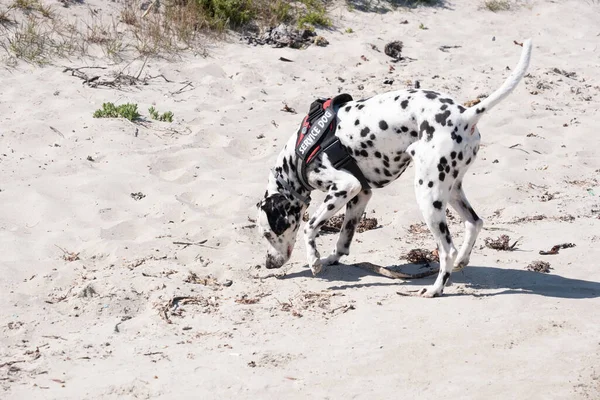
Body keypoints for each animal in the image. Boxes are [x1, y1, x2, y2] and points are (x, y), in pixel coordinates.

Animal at [255, 39, 532, 296]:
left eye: (268, 234)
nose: (268, 264)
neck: (296, 159)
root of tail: (465, 115)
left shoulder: (346, 187)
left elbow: (310, 226)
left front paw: (314, 260)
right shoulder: (360, 195)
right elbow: (343, 240)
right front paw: (330, 259)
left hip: (428, 196)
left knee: (447, 250)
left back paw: (435, 288)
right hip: (452, 189)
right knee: (475, 223)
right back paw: (462, 261)